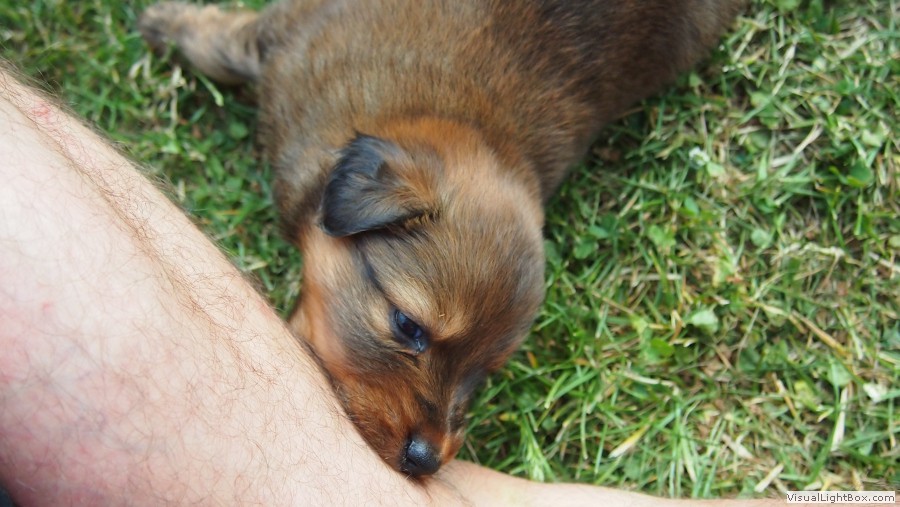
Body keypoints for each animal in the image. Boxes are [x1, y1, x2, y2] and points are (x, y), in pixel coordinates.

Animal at [139, 0, 745, 477]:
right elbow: (222, 46)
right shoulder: (291, 35)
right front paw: (168, 24)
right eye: (408, 326)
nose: (425, 460)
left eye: (483, 374)